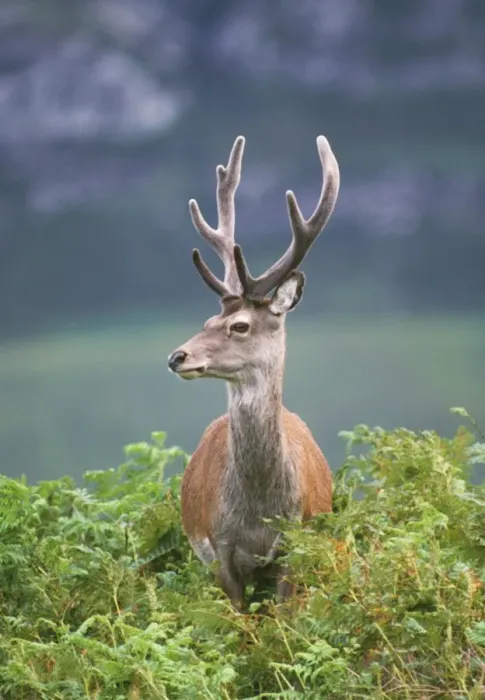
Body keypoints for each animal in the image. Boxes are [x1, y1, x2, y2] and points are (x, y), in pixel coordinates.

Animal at [167, 134, 340, 610]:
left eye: (240, 325)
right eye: (208, 320)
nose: (178, 357)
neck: (260, 515)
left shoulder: (295, 546)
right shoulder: (218, 549)